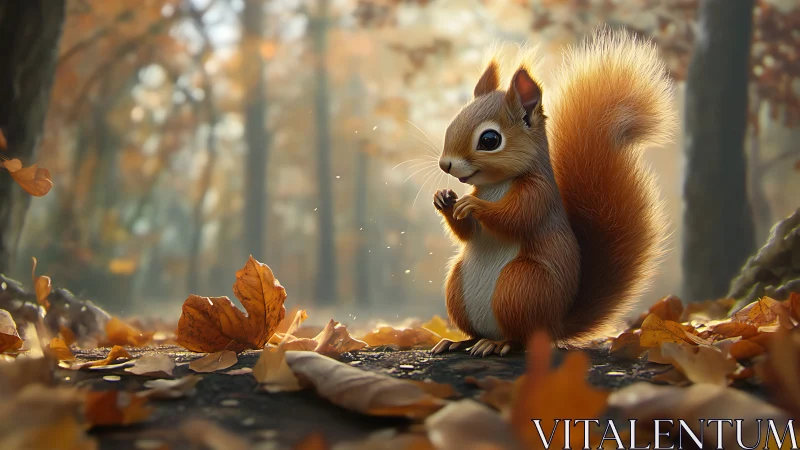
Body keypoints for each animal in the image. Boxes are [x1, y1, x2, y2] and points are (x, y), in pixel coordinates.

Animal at [430, 28, 676, 357]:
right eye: (452, 123)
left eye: (490, 140)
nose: (445, 164)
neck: (494, 185)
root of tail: (555, 326)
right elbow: (468, 233)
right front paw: (444, 199)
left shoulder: (539, 193)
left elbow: (516, 218)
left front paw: (473, 206)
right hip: (458, 286)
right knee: (476, 330)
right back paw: (458, 341)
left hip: (522, 285)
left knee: (522, 337)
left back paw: (498, 344)